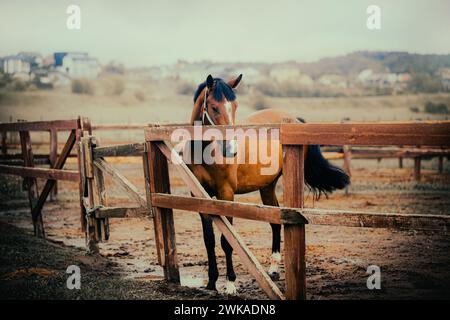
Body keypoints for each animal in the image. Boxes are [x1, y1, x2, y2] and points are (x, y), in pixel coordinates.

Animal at [185, 75, 350, 296]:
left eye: (235, 106)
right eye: (213, 107)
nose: (231, 149)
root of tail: (294, 120)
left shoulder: (226, 195)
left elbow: (227, 241)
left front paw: (230, 284)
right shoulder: (199, 197)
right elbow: (209, 240)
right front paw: (211, 282)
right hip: (267, 186)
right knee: (275, 222)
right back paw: (273, 269)